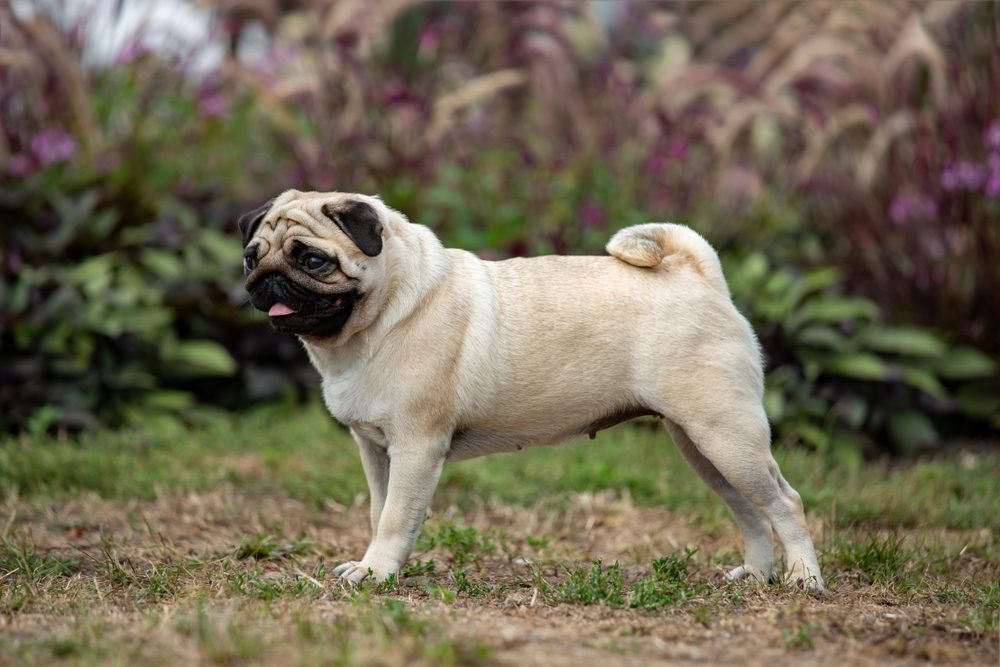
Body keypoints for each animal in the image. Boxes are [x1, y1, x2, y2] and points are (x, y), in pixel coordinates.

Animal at [238, 190, 824, 592]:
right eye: (252, 256)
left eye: (313, 260)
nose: (265, 278)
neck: (380, 318)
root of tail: (698, 274)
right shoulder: (375, 449)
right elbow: (378, 512)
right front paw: (371, 565)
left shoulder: (417, 447)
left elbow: (396, 518)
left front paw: (378, 574)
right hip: (702, 444)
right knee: (750, 510)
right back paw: (757, 574)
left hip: (725, 434)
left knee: (786, 503)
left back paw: (802, 579)